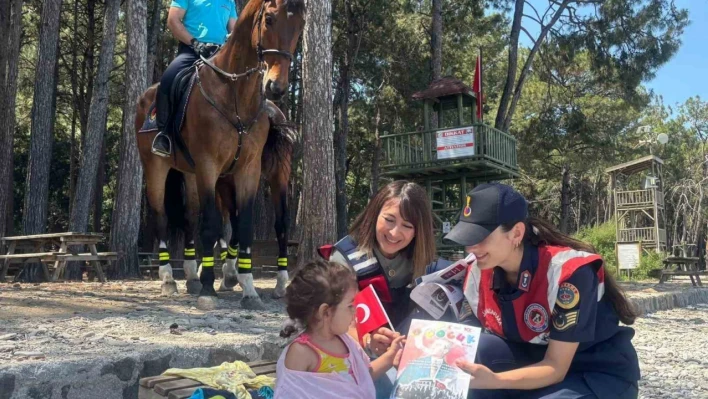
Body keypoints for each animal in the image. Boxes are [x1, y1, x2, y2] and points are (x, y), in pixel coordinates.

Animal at [136, 0, 304, 310]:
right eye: (269, 20)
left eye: (299, 25)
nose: (275, 86)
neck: (235, 95)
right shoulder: (209, 167)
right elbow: (213, 226)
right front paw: (209, 287)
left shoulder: (247, 170)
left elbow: (243, 225)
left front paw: (247, 287)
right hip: (156, 168)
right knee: (161, 215)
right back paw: (168, 279)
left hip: (192, 174)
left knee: (191, 216)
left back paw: (192, 275)